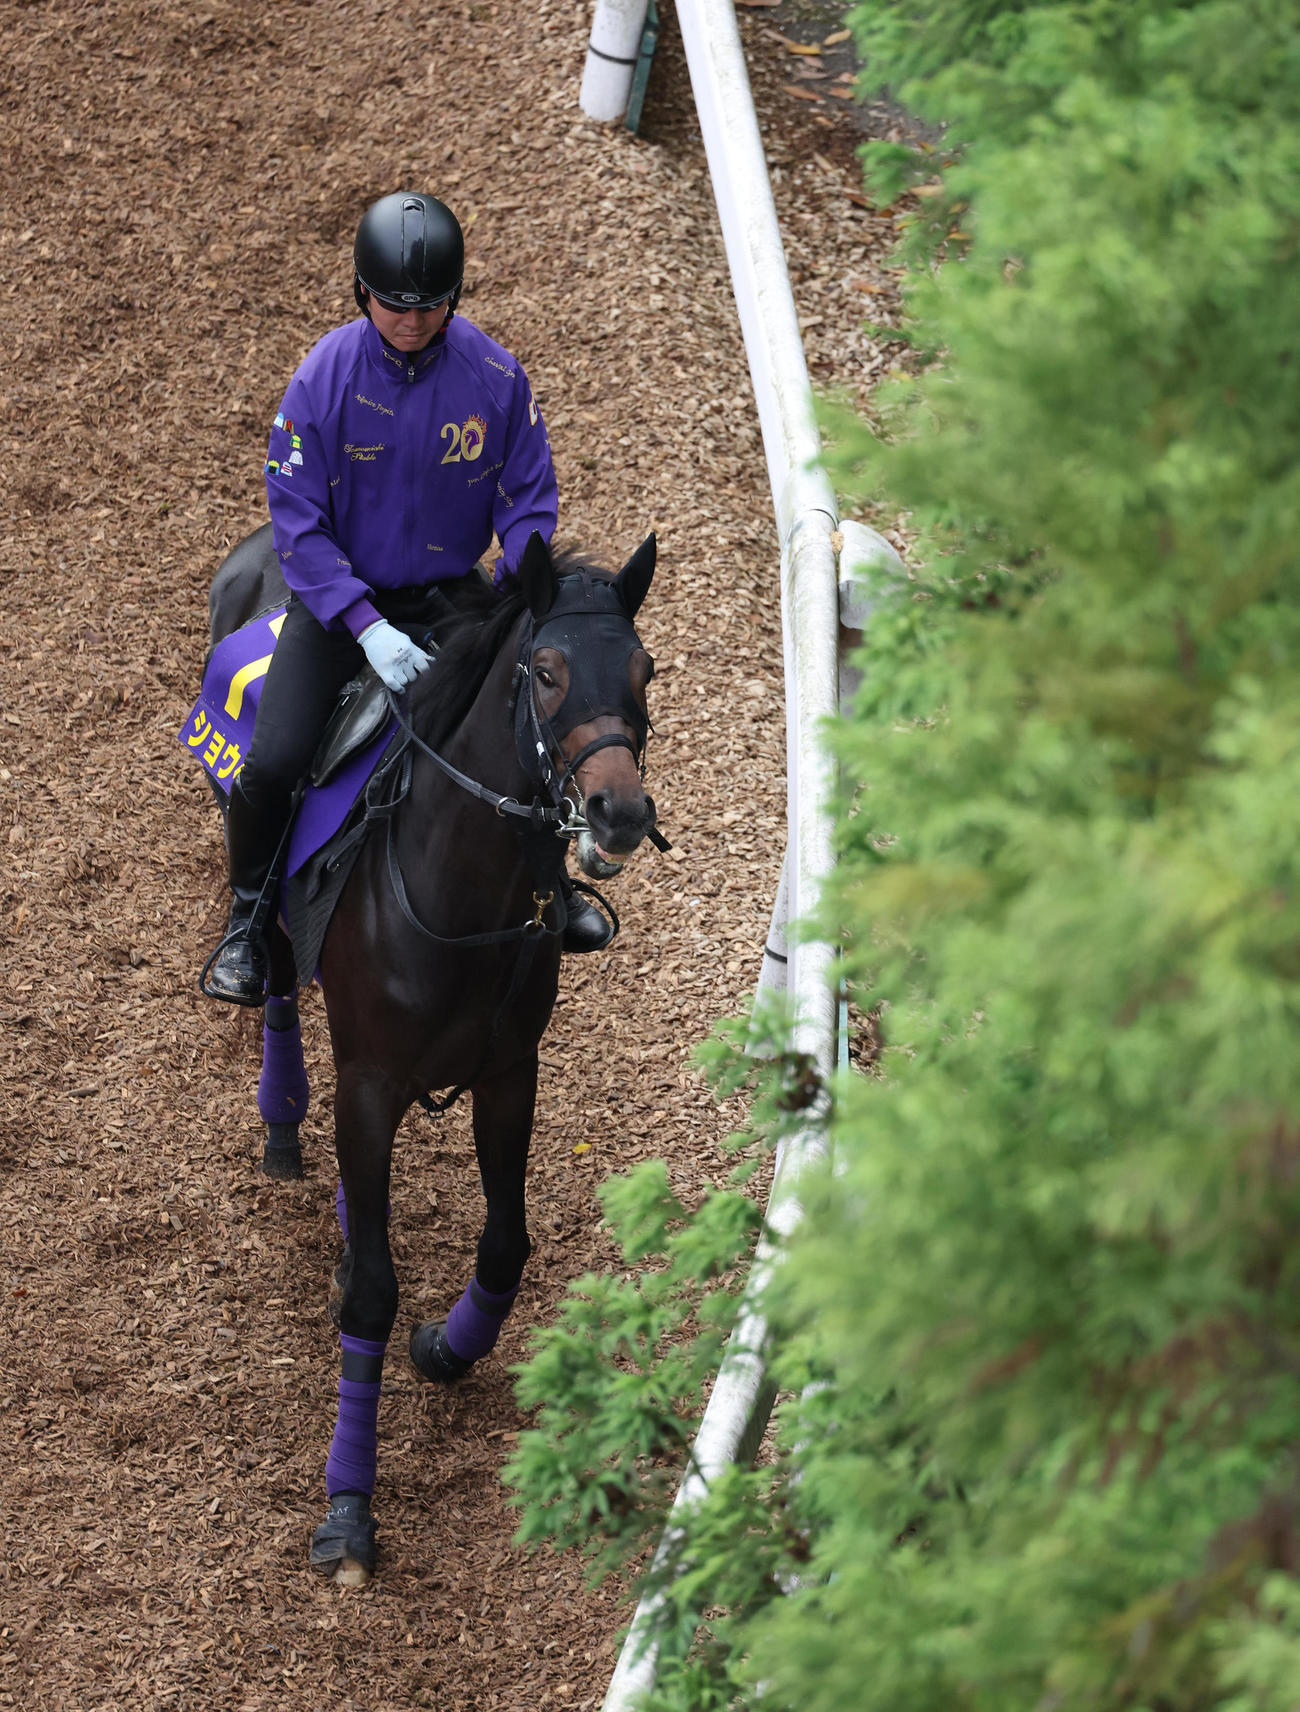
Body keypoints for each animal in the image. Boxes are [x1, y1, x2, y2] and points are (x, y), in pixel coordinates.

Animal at [205, 524, 660, 1582]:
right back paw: (281, 1118)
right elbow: (372, 1295)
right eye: (545, 671)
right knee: (275, 960)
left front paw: (449, 1347)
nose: (617, 813)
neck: (460, 895)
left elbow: (507, 1243)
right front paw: (348, 1509)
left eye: (645, 669)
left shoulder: (509, 1073)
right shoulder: (373, 1084)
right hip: (267, 840)